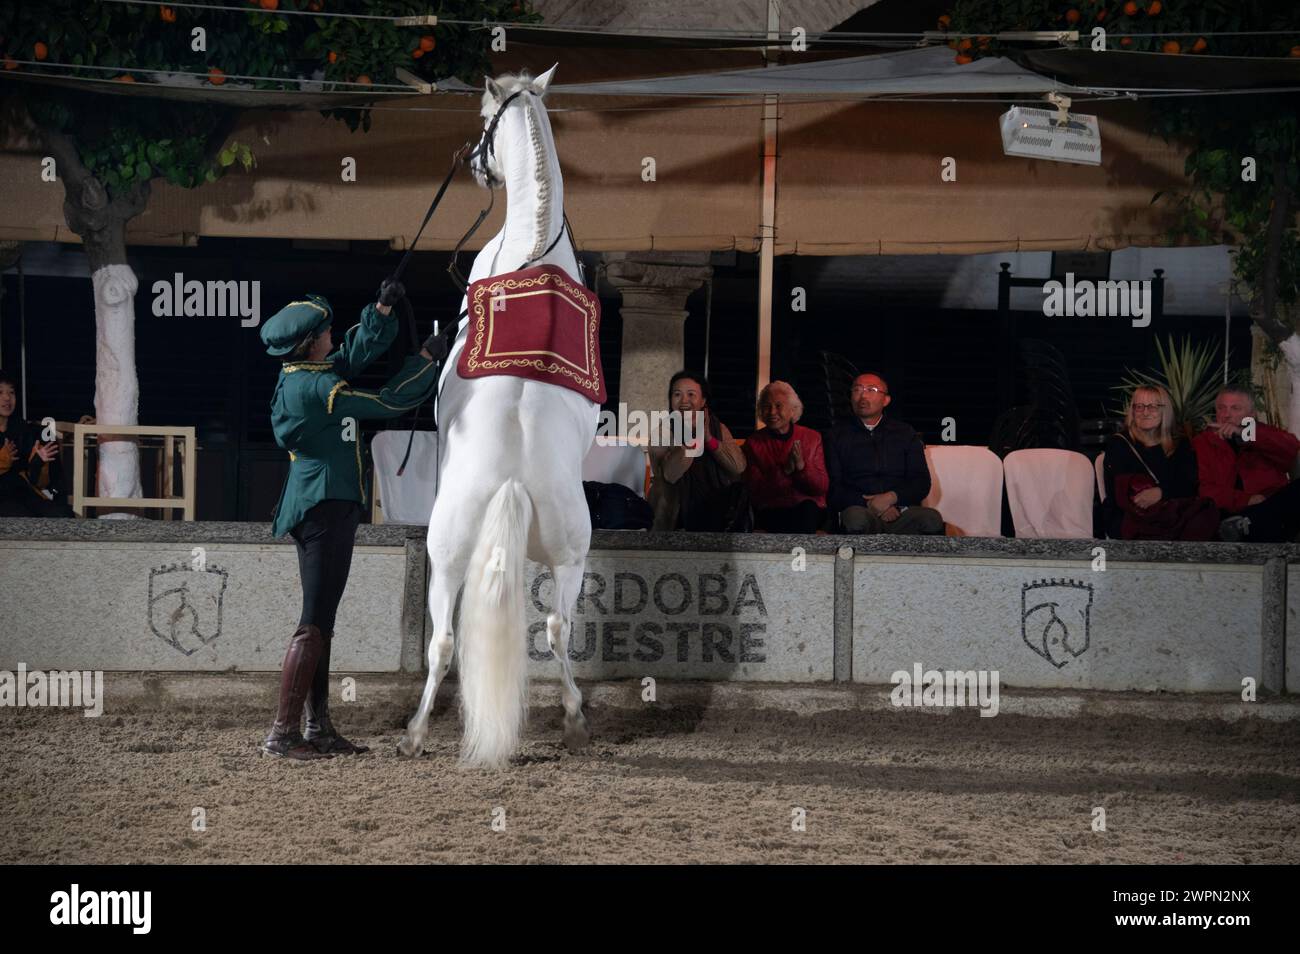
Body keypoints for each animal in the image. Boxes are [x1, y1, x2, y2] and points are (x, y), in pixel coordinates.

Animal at [395, 65, 598, 769]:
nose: (475, 164)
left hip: (447, 555)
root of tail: (511, 476)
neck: (532, 248)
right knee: (558, 628)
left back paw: (417, 731)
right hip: (567, 557)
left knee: (444, 641)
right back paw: (572, 721)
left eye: (483, 118)